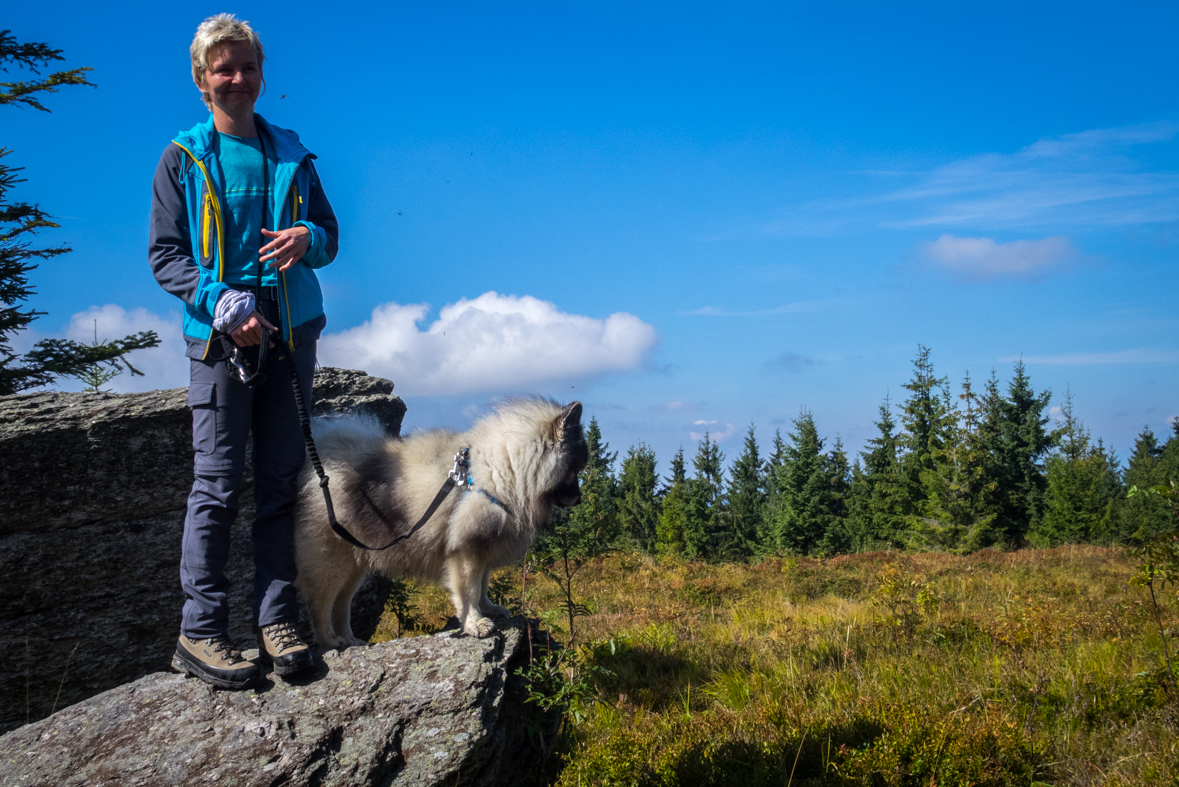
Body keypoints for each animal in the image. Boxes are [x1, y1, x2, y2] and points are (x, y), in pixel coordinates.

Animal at [294, 395, 589, 650]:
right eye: (575, 468)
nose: (579, 500)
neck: (503, 469)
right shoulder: (466, 551)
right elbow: (469, 591)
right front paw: (475, 624)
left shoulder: (483, 547)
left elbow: (483, 585)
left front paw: (490, 609)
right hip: (332, 563)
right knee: (320, 605)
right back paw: (330, 642)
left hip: (355, 565)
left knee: (341, 605)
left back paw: (350, 639)